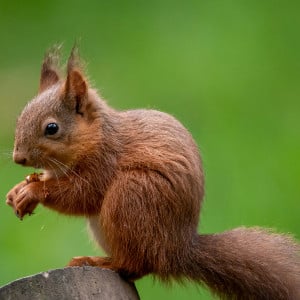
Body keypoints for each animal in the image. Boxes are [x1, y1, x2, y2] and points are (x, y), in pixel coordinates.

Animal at [5, 45, 300, 298]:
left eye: (52, 128)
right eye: (20, 117)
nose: (18, 158)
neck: (98, 136)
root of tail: (176, 251)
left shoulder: (105, 163)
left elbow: (81, 194)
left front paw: (33, 191)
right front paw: (18, 189)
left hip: (132, 196)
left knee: (136, 265)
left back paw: (101, 262)